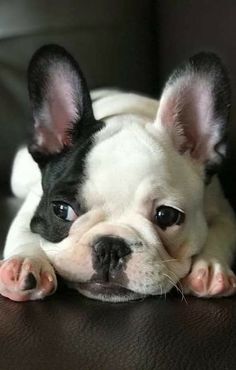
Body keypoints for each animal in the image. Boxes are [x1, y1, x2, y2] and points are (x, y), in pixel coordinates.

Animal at [0, 44, 236, 302]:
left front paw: (210, 268)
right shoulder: (33, 205)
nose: (110, 246)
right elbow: (24, 232)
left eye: (167, 216)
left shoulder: (222, 209)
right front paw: (25, 262)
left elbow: (221, 234)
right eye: (62, 210)